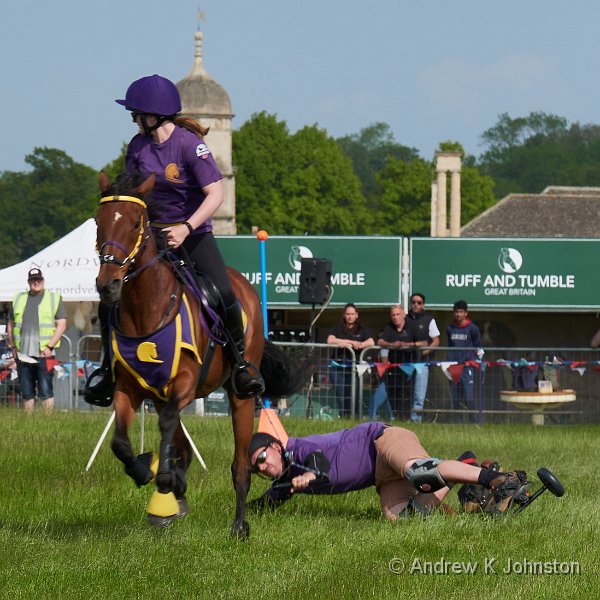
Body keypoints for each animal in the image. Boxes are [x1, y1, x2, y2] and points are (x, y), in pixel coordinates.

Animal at [95, 171, 304, 536]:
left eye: (135, 224)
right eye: (98, 222)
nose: (108, 285)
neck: (145, 310)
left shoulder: (185, 383)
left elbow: (166, 427)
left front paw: (163, 478)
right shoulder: (130, 387)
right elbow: (120, 442)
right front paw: (148, 472)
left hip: (239, 394)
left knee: (239, 464)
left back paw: (238, 525)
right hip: (160, 394)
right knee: (179, 442)